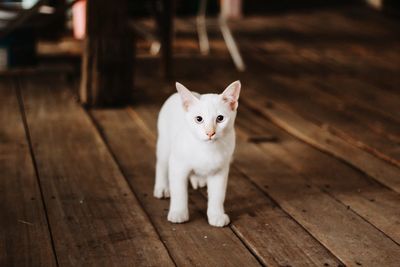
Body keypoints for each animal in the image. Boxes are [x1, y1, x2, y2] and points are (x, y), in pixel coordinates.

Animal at [153, 80, 241, 227]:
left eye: (220, 118)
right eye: (199, 119)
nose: (210, 133)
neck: (206, 149)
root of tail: (174, 95)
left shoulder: (220, 170)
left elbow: (218, 195)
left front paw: (216, 215)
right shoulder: (177, 166)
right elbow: (179, 192)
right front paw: (178, 212)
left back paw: (198, 178)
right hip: (164, 144)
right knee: (161, 164)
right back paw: (162, 187)